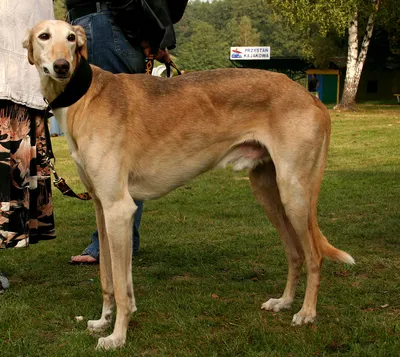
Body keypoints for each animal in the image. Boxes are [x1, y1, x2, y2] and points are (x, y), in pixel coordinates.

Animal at [23, 19, 354, 348]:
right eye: (44, 36)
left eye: (71, 38)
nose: (62, 66)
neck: (88, 98)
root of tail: (311, 98)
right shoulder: (102, 208)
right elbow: (109, 277)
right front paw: (103, 321)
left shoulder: (119, 209)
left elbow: (120, 285)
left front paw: (117, 336)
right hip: (269, 193)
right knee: (295, 253)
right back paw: (284, 302)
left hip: (294, 193)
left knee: (314, 254)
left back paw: (306, 312)